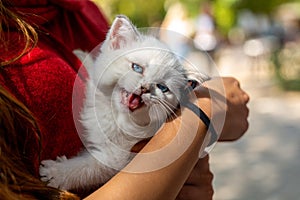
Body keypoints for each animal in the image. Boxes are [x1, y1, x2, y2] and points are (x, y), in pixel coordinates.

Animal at [39, 15, 209, 191]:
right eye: (137, 68)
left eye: (163, 88)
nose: (145, 88)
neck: (115, 115)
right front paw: (79, 55)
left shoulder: (116, 159)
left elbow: (87, 168)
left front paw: (56, 172)